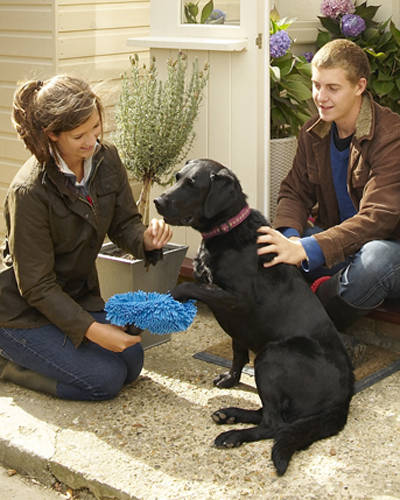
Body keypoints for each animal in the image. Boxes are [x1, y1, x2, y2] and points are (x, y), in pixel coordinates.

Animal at [153, 158, 354, 474]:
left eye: (192, 184)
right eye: (177, 177)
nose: (158, 201)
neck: (226, 229)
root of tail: (344, 398)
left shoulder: (237, 300)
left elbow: (189, 286)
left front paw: (171, 296)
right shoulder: (236, 321)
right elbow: (237, 352)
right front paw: (231, 379)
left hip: (271, 357)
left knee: (274, 425)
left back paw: (232, 435)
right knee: (270, 416)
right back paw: (230, 414)